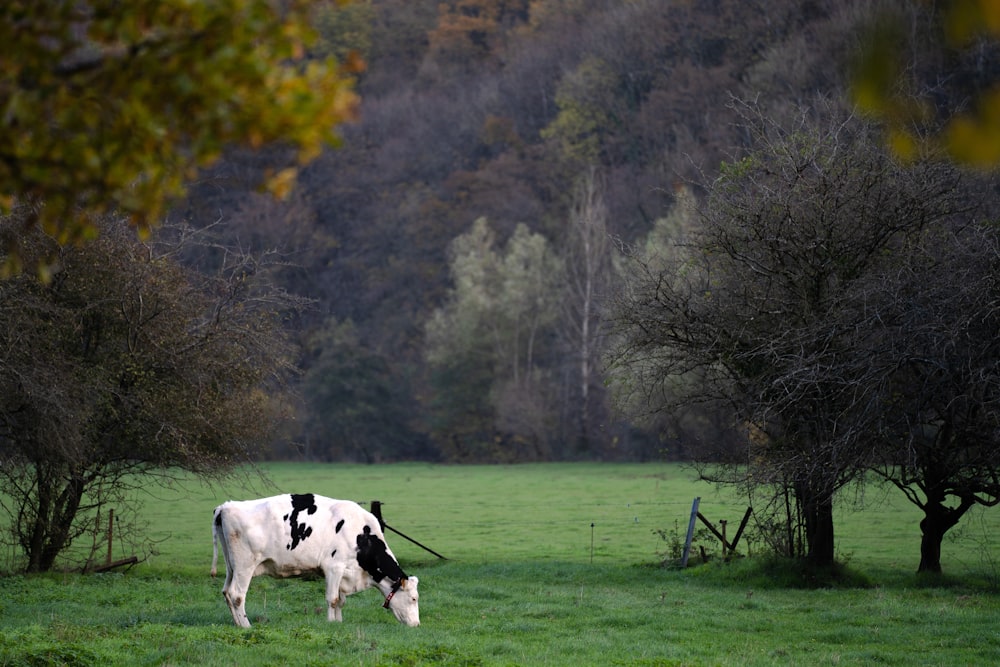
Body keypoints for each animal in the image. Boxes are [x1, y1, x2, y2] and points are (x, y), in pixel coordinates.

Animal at [213, 494, 420, 628]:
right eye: (413, 598)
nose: (417, 624)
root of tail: (226, 506)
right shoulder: (334, 567)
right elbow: (333, 599)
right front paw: (331, 623)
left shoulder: (343, 573)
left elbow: (341, 601)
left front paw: (339, 623)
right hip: (245, 565)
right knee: (237, 594)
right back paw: (246, 626)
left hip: (231, 566)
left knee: (226, 592)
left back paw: (237, 624)